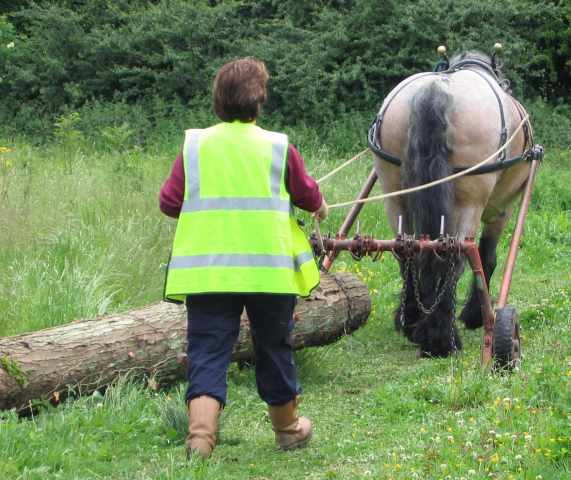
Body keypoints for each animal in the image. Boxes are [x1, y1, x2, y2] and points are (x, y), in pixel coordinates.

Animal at [368, 49, 536, 356]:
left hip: (394, 193)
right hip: (469, 201)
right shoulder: (501, 211)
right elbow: (487, 257)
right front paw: (475, 315)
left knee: (407, 249)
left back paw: (412, 321)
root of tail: (435, 90)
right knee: (455, 254)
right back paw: (442, 338)